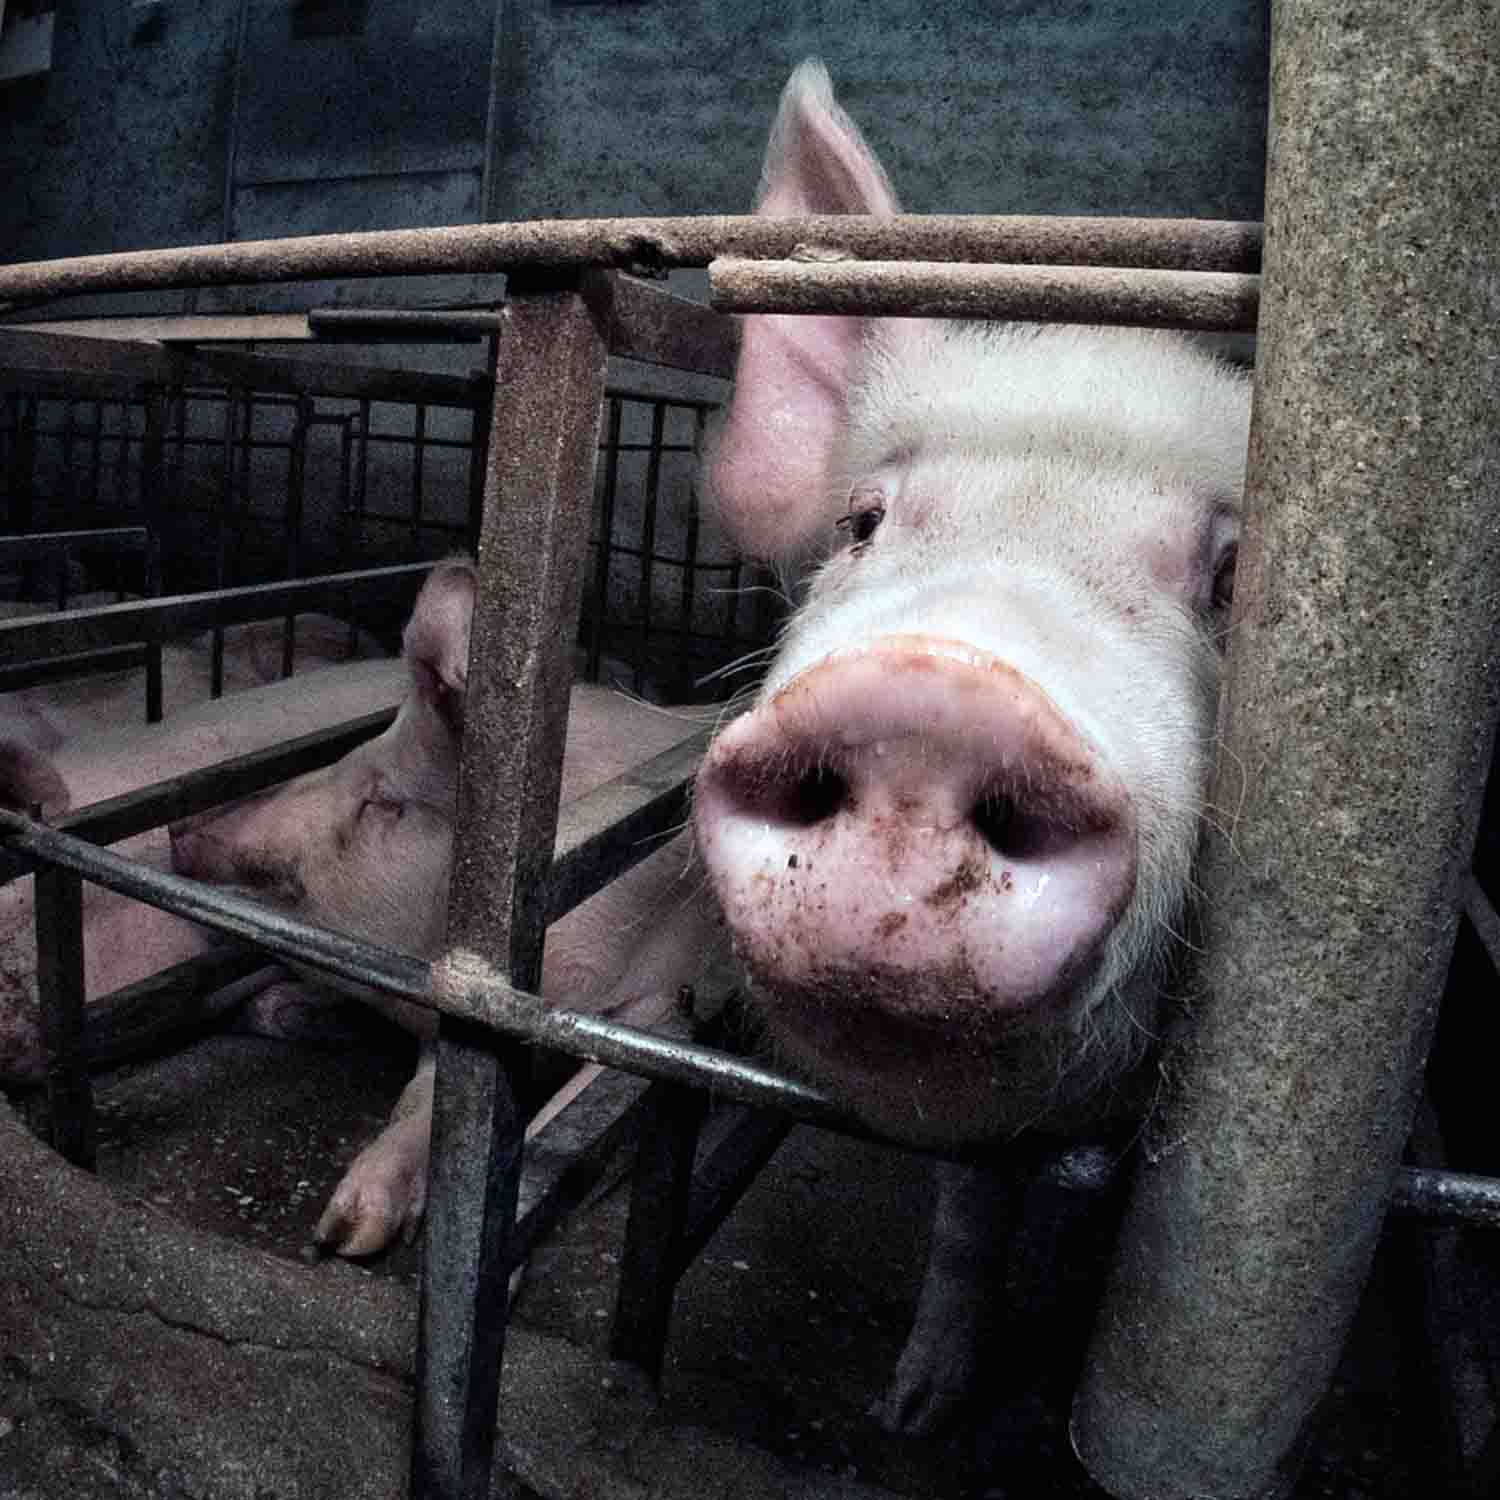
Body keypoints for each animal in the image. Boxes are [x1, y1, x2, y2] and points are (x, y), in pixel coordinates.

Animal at [170, 558, 720, 1260]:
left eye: (381, 800)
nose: (183, 829)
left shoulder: (665, 1002)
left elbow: (564, 1135)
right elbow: (423, 1099)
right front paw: (346, 1231)